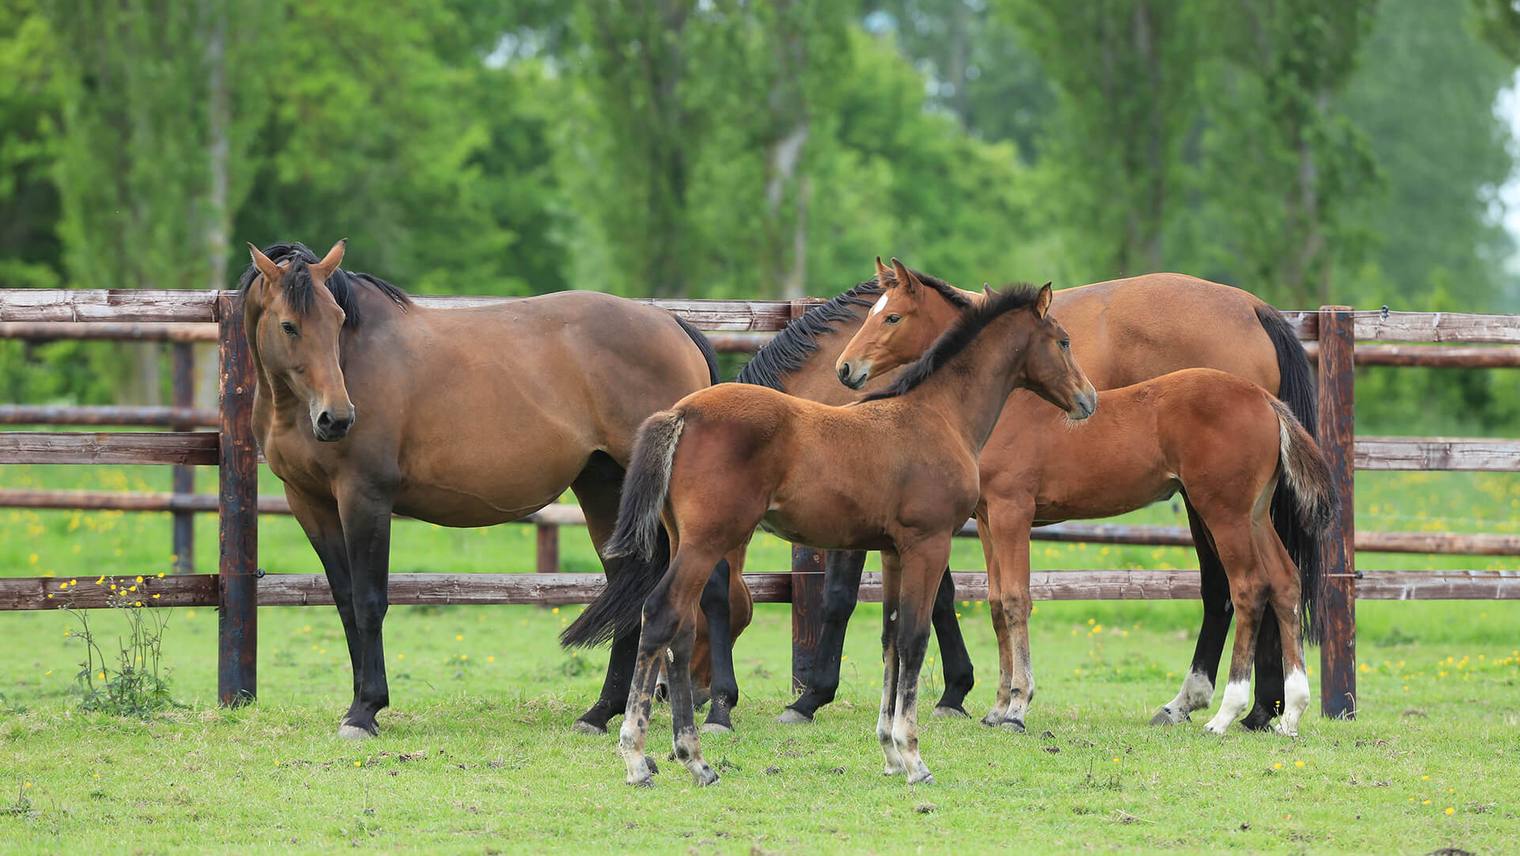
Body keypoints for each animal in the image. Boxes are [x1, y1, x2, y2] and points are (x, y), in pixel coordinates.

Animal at [238, 240, 743, 739]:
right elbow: (344, 602)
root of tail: (672, 326)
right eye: (288, 325)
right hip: (607, 488)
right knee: (631, 583)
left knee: (714, 585)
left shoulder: (365, 498)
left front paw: (366, 709)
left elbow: (369, 601)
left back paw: (718, 711)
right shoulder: (309, 503)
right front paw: (358, 705)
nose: (337, 418)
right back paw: (601, 712)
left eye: (339, 320)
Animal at [587, 264, 1098, 787]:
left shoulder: (893, 550)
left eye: (892, 316)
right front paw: (914, 757)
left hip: (684, 539)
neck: (937, 414)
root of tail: (681, 412)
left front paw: (890, 753)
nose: (1088, 398)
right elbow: (914, 638)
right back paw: (649, 757)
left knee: (682, 626)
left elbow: (891, 640)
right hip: (708, 540)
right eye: (1063, 341)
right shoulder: (929, 543)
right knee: (662, 614)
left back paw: (686, 755)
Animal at [725, 262, 1319, 730]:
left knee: (1237, 588)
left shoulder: (998, 512)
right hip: (1252, 512)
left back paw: (1220, 709)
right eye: (874, 313)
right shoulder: (977, 516)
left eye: (890, 317)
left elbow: (1000, 600)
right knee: (1283, 580)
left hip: (1216, 508)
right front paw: (982, 700)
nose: (848, 370)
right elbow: (982, 600)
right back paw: (1278, 712)